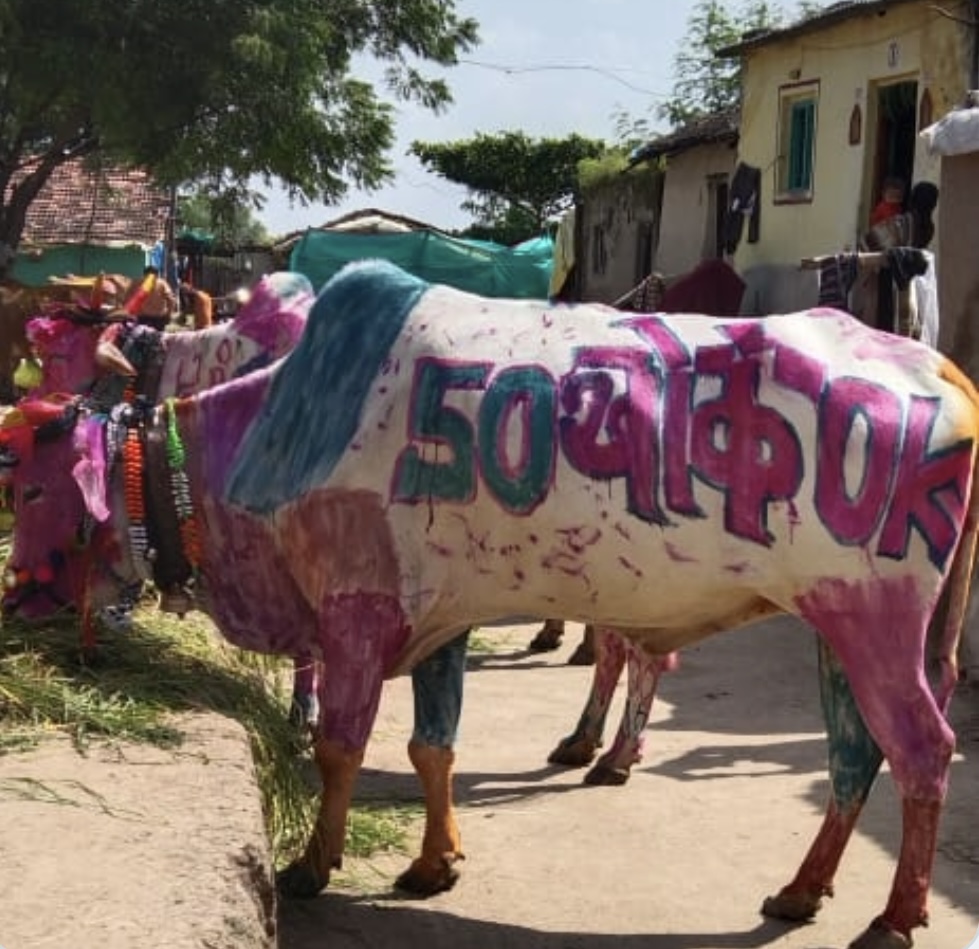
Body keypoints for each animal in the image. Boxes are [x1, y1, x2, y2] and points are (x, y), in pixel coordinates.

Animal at [1, 260, 979, 948]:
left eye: (32, 485)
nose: (16, 599)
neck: (276, 426)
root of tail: (937, 365)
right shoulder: (436, 621)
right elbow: (431, 746)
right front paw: (435, 860)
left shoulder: (355, 610)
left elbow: (340, 746)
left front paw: (314, 861)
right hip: (841, 630)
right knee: (854, 757)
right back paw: (800, 886)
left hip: (875, 622)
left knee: (921, 750)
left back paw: (890, 915)